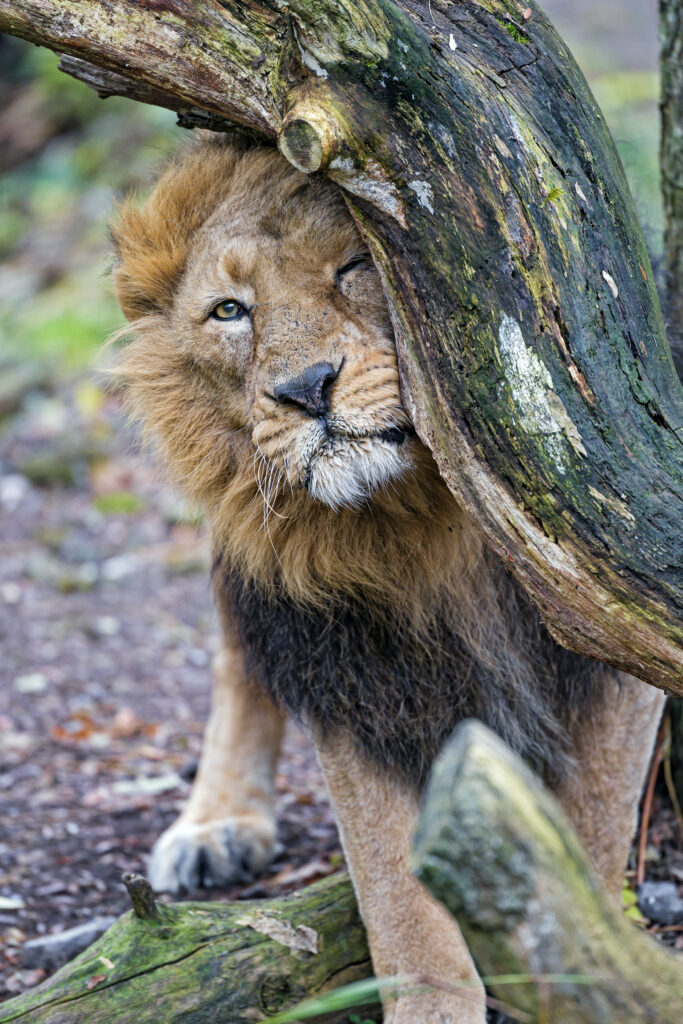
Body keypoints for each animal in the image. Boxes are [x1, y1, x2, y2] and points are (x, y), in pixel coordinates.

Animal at [110, 135, 664, 1024]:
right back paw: (216, 823)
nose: (304, 391)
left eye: (352, 265)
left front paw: (580, 958)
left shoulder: (609, 624)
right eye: (229, 311)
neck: (420, 520)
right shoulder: (350, 675)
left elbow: (590, 827)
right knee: (235, 656)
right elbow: (398, 905)